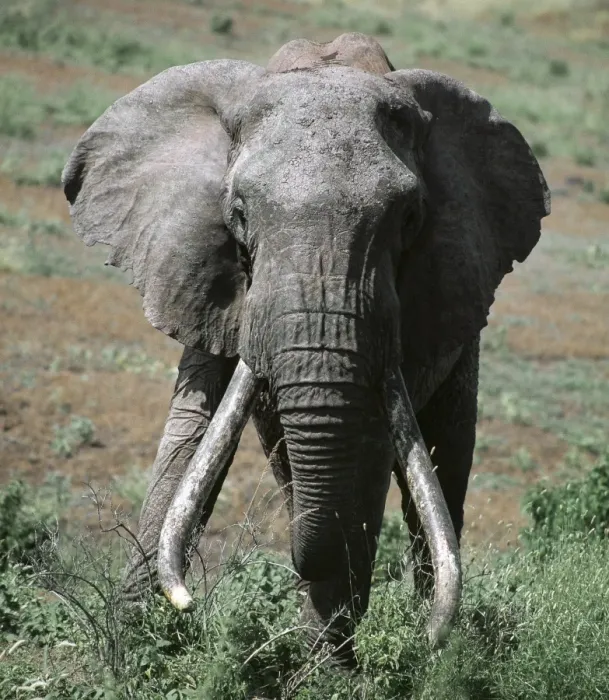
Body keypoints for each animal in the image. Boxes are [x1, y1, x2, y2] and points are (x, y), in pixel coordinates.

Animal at [62, 32, 550, 666]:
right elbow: (194, 432)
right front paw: (134, 647)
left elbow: (369, 446)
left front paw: (326, 671)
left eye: (409, 217)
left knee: (443, 454)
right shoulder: (198, 266)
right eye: (238, 214)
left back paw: (431, 646)